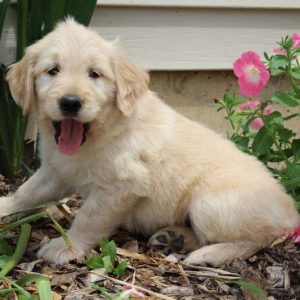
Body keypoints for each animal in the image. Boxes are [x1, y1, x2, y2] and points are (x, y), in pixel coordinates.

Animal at [1, 19, 298, 264]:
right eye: (52, 70)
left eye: (94, 74)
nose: (70, 102)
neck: (100, 133)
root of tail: (290, 211)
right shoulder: (56, 169)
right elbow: (27, 191)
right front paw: (6, 205)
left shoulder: (120, 187)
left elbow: (88, 218)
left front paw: (67, 247)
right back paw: (174, 238)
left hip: (209, 202)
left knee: (257, 238)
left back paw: (208, 255)